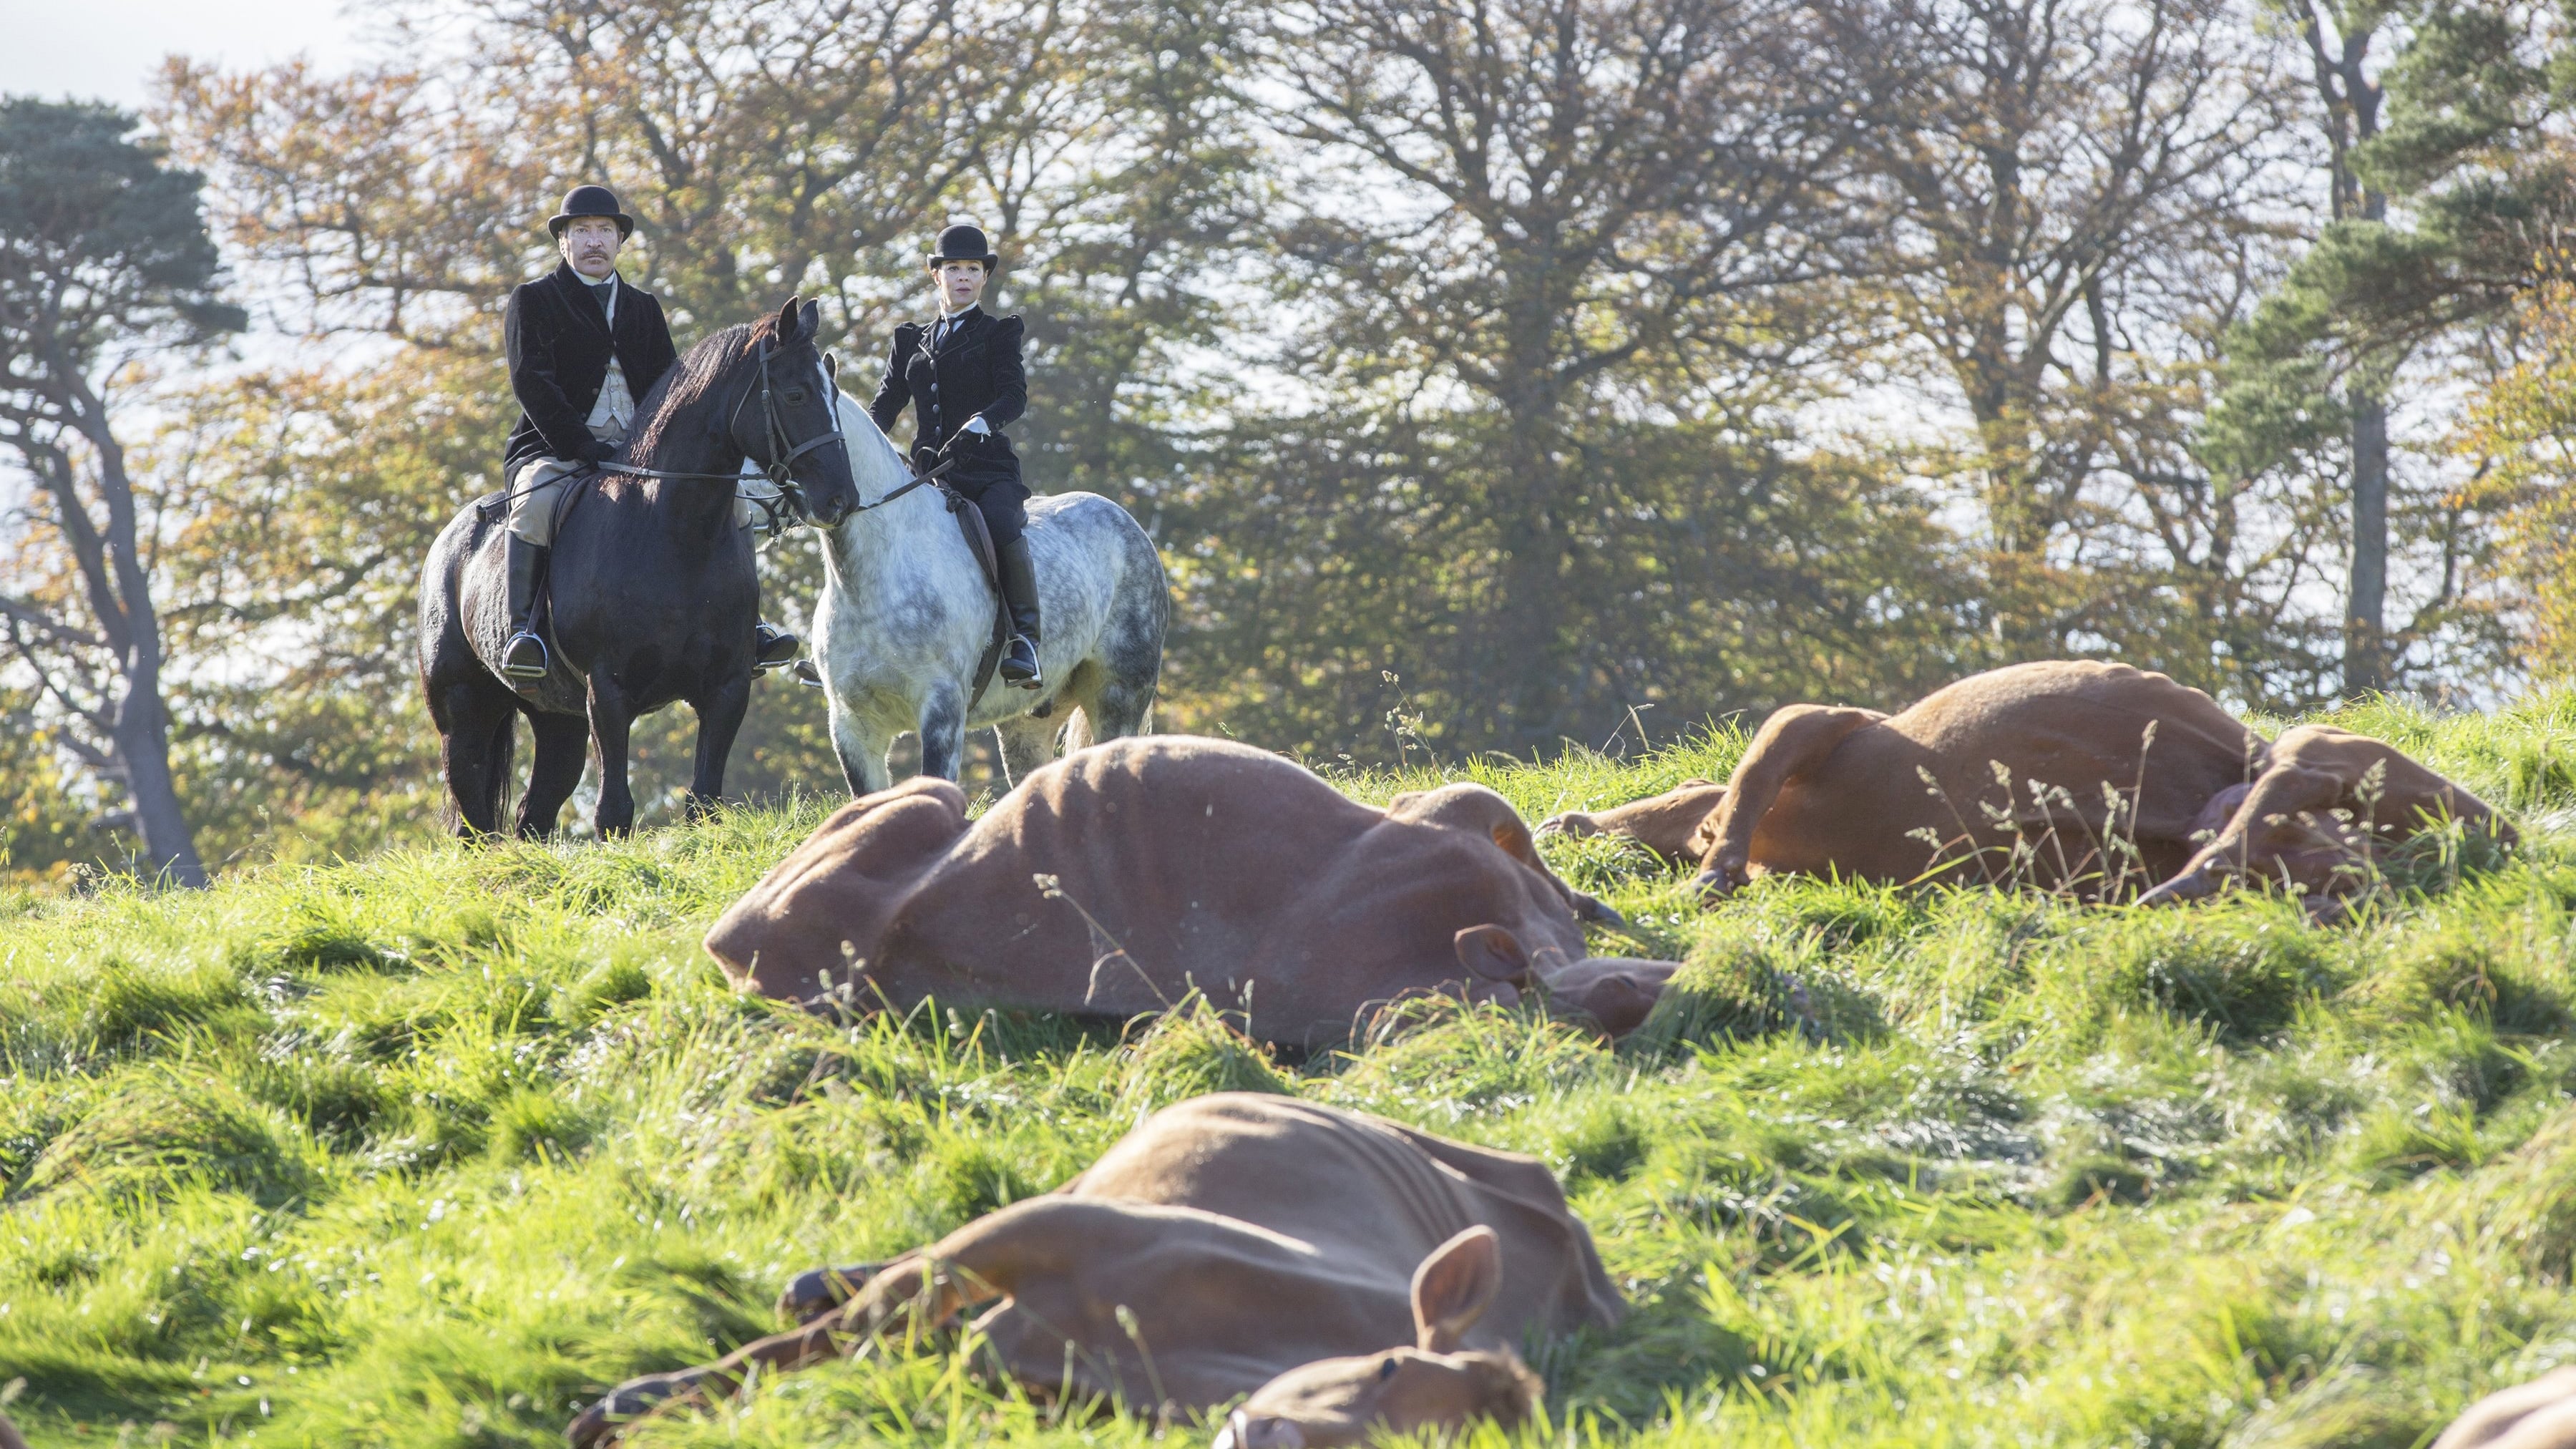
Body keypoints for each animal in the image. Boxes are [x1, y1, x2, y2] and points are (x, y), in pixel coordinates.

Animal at [417, 295, 860, 835]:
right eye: (796, 395)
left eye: (834, 394)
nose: (841, 500)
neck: (675, 534)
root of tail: (449, 540)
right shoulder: (608, 692)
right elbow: (614, 812)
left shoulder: (727, 689)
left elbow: (704, 801)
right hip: (464, 715)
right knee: (476, 821)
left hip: (558, 720)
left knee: (532, 814)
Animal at [567, 1088, 1617, 1433]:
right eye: (1392, 1364)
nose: (1276, 1437)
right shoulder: (1038, 1229)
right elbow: (833, 1336)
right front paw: (632, 1403)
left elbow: (879, 1346)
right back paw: (811, 1281)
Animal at [706, 732, 1669, 1036]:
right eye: (1622, 995)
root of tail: (730, 947)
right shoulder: (1441, 823)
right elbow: (1512, 829)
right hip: (881, 843)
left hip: (913, 812)